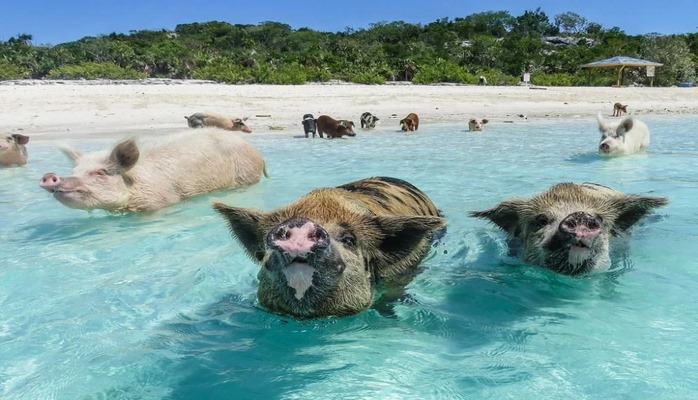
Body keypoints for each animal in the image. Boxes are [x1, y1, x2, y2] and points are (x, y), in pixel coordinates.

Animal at [39, 130, 266, 214]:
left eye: (100, 173)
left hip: (246, 174)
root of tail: (256, 152)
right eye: (75, 170)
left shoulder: (158, 201)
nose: (49, 176)